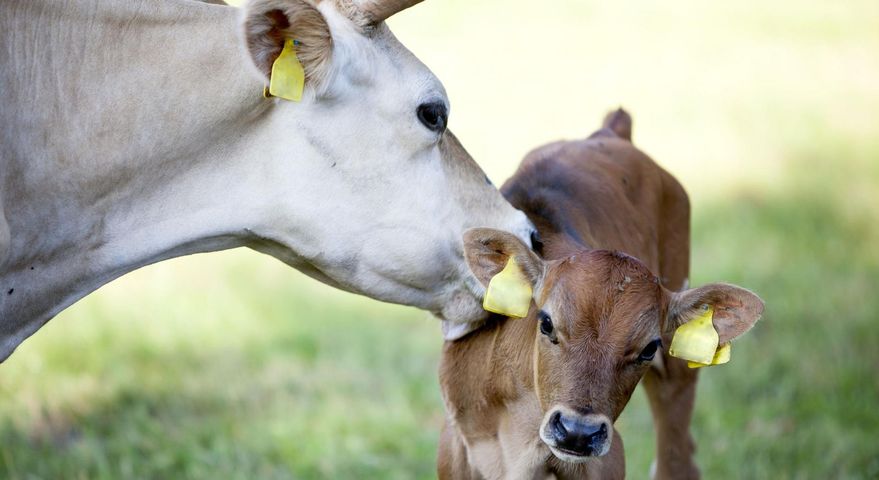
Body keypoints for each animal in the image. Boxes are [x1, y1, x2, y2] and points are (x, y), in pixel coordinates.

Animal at [438, 110, 764, 478]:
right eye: (546, 323)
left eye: (649, 347)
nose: (578, 432)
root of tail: (611, 132)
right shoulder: (455, 443)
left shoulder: (606, 458)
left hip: (677, 374)